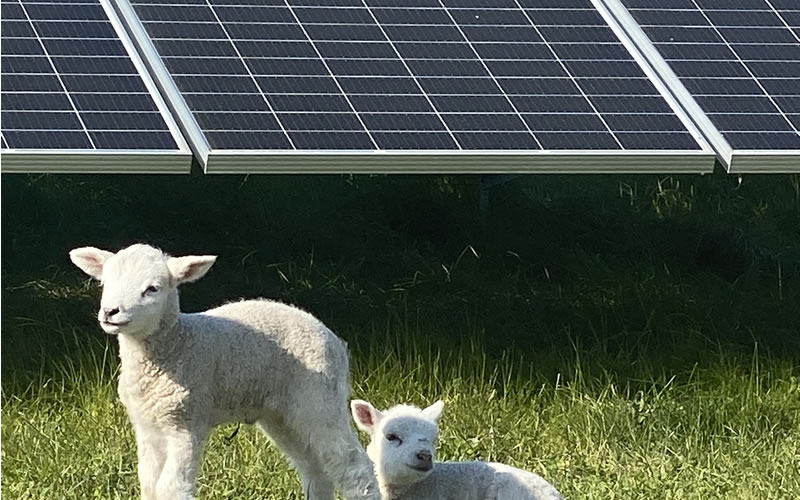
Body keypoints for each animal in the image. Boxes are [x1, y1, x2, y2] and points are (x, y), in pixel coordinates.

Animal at [69, 243, 380, 500]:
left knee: (354, 467)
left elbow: (171, 489)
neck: (177, 346)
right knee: (315, 470)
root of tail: (336, 342)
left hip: (319, 397)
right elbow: (149, 486)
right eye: (105, 282)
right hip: (281, 413)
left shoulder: (186, 422)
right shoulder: (148, 426)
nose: (110, 312)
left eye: (152, 289)